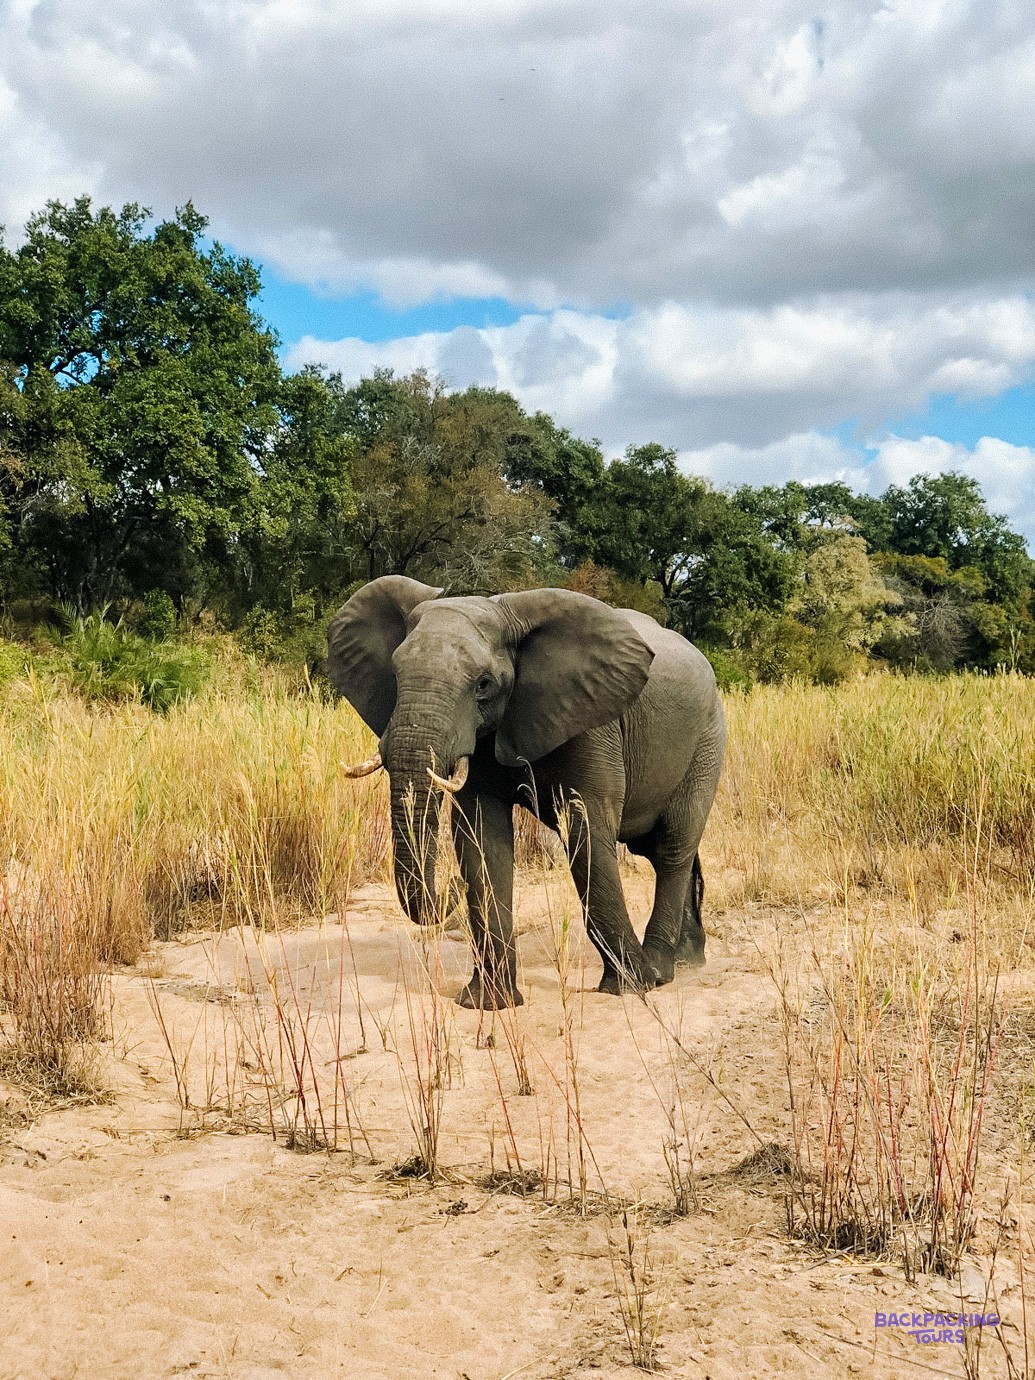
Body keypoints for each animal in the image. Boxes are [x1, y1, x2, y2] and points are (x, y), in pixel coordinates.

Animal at [328, 577, 726, 1010]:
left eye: (483, 685)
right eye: (396, 677)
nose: (449, 890)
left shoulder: (592, 722)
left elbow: (586, 830)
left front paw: (629, 987)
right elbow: (482, 840)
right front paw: (488, 1003)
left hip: (707, 737)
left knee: (673, 845)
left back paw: (660, 971)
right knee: (659, 849)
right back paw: (688, 959)